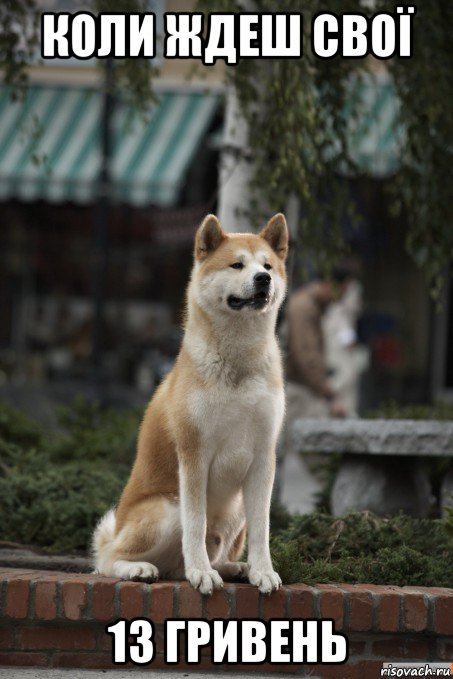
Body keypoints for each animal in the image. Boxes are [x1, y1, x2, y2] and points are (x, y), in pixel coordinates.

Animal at [93, 212, 288, 596]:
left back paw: (235, 568)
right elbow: (195, 526)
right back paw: (142, 568)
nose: (263, 279)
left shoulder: (263, 457)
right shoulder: (194, 454)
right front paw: (201, 573)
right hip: (167, 508)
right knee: (108, 560)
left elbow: (263, 530)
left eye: (268, 266)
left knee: (203, 558)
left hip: (236, 509)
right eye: (237, 264)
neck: (237, 364)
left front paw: (263, 571)